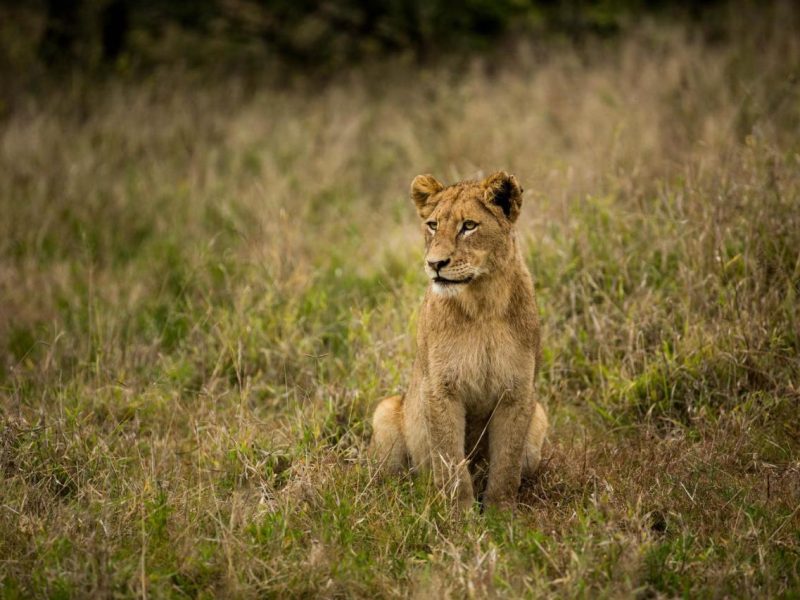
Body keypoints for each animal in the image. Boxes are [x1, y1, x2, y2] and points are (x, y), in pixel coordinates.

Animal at [369, 171, 548, 511]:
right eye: (432, 225)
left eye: (469, 226)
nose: (435, 264)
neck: (482, 304)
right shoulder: (440, 389)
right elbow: (450, 460)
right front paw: (459, 516)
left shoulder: (518, 390)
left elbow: (506, 465)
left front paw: (500, 516)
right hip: (384, 412)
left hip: (540, 417)